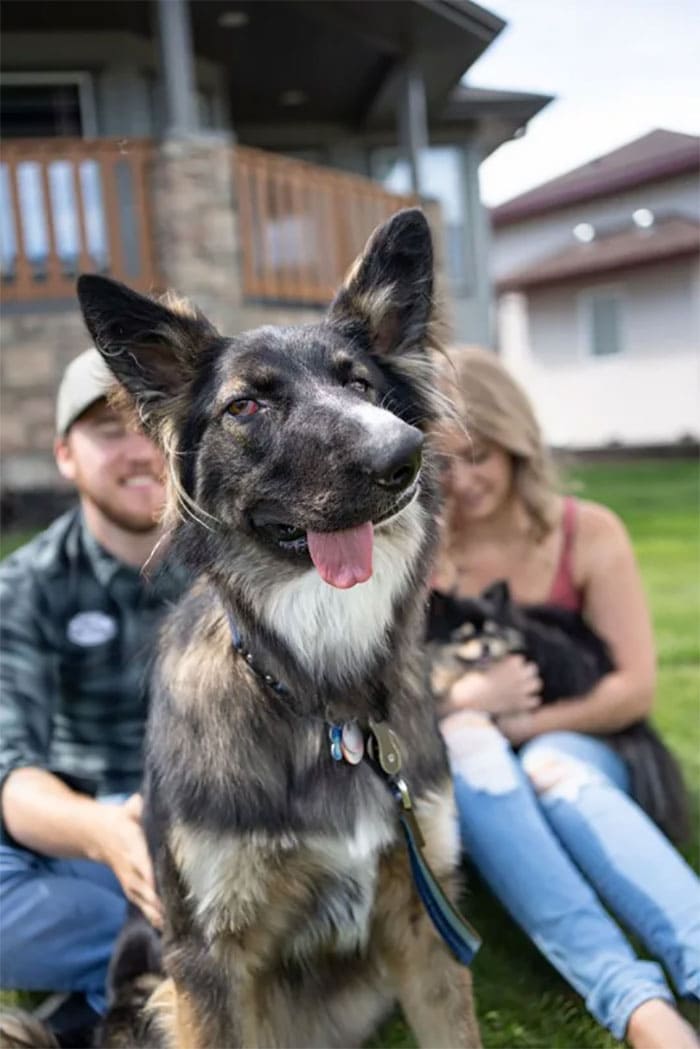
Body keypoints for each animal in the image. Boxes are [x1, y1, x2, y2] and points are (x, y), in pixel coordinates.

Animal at [76, 206, 482, 1049]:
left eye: (360, 384)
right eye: (247, 406)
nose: (401, 455)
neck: (324, 700)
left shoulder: (425, 912)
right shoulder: (208, 955)